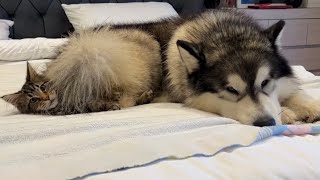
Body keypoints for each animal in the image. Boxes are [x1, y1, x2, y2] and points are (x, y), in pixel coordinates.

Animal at [114, 9, 320, 126]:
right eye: (231, 90)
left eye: (265, 82)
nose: (265, 122)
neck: (224, 31)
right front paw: (285, 113)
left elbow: (295, 93)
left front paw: (310, 106)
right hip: (147, 42)